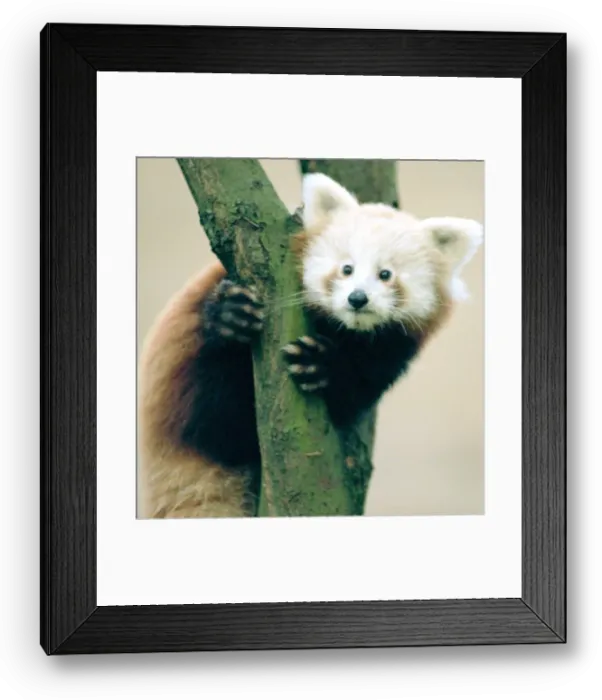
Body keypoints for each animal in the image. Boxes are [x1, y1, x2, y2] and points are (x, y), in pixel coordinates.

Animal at [138, 172, 483, 519]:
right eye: (346, 269)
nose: (357, 298)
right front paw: (231, 315)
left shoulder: (388, 354)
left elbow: (353, 389)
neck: (343, 331)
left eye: (385, 274)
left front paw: (322, 365)